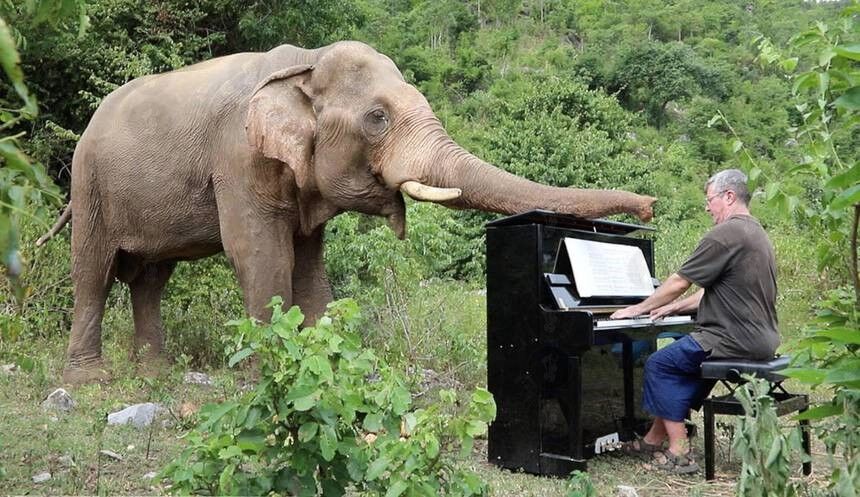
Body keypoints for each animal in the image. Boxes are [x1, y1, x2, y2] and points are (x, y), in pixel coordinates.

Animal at [38, 41, 656, 384]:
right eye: (377, 118)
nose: (650, 206)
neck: (304, 66)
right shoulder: (237, 156)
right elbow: (261, 255)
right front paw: (266, 380)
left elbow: (310, 266)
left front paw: (323, 368)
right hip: (92, 184)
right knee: (93, 270)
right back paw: (89, 381)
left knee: (151, 278)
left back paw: (154, 372)